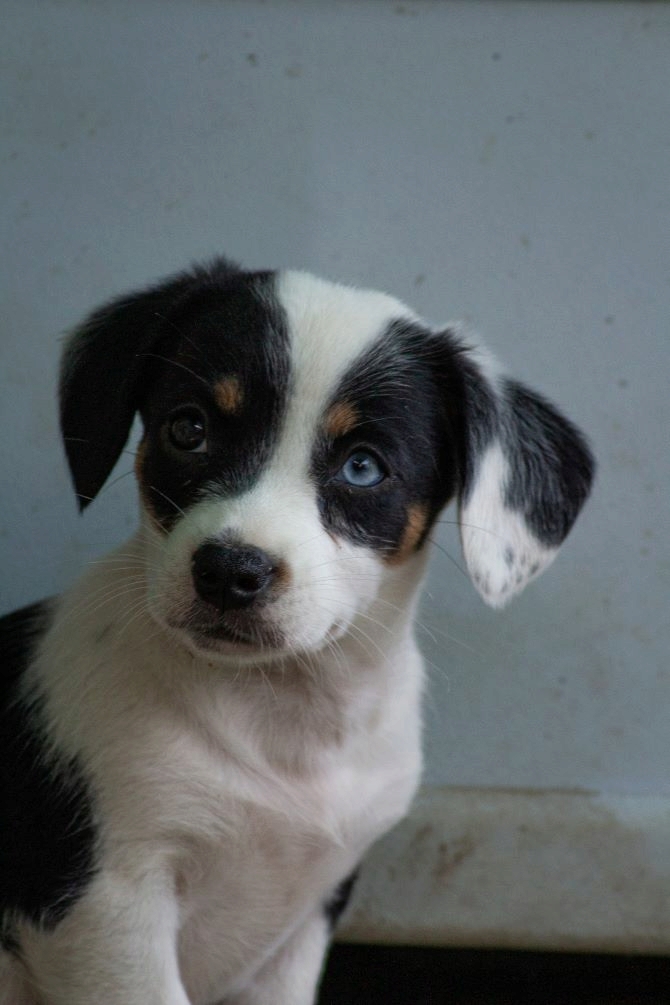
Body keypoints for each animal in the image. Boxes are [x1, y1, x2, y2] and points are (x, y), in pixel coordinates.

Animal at [2, 261, 594, 1005]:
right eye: (188, 429)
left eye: (363, 466)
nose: (229, 571)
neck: (281, 712)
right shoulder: (107, 908)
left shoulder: (307, 917)